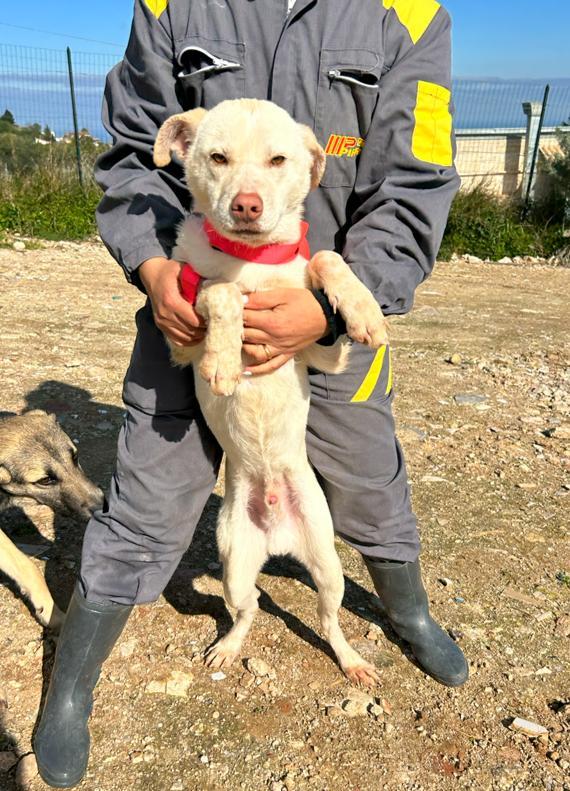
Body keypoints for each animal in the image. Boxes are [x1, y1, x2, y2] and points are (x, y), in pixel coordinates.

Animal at [153, 97, 388, 680]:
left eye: (278, 160)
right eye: (218, 157)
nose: (247, 206)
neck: (252, 263)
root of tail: (279, 538)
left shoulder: (321, 353)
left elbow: (327, 258)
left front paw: (363, 309)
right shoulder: (180, 338)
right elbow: (218, 291)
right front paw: (223, 358)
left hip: (329, 566)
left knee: (328, 618)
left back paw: (352, 661)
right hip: (234, 562)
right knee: (250, 607)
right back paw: (229, 646)